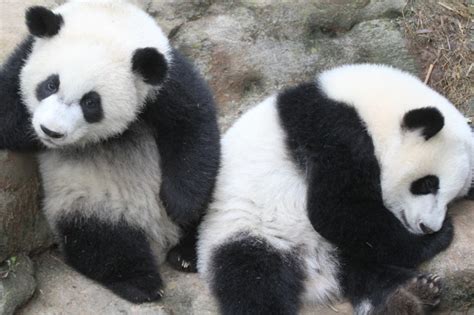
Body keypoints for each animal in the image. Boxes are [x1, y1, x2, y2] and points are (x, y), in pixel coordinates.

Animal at [0, 0, 220, 306]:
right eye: (50, 84)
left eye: (91, 102)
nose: (51, 131)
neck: (110, 17)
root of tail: (160, 237)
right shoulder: (23, 58)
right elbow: (7, 115)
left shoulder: (167, 80)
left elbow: (193, 127)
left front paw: (181, 205)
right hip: (89, 207)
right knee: (104, 245)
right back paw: (141, 283)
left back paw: (186, 254)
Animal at [198, 64, 472, 315]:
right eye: (427, 184)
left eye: (452, 199)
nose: (428, 227)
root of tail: (315, 271)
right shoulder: (334, 132)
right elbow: (335, 210)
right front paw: (436, 238)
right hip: (246, 231)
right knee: (255, 283)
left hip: (330, 248)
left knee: (361, 266)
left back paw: (410, 294)